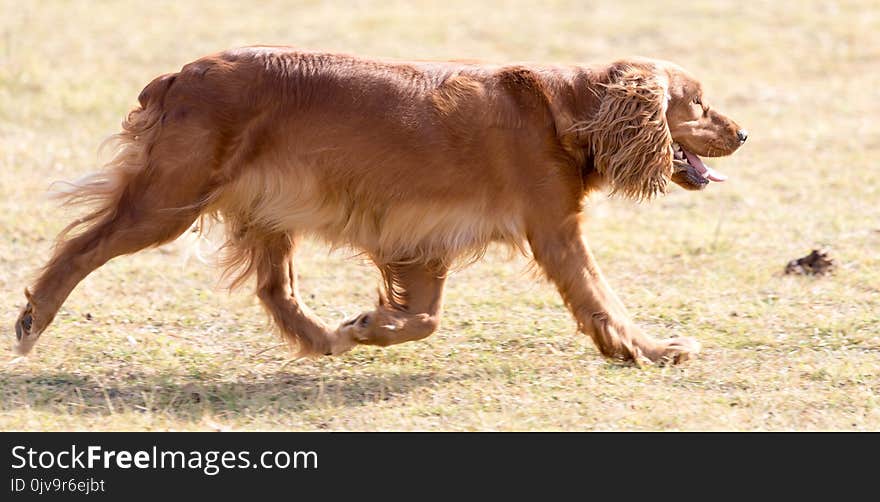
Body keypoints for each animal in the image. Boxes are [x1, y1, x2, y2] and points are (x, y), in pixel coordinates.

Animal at [13, 47, 744, 364]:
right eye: (699, 103)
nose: (743, 134)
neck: (569, 112)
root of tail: (179, 75)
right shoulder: (556, 234)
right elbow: (601, 302)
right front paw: (653, 348)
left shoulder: (423, 242)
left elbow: (423, 317)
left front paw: (368, 325)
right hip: (168, 202)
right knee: (79, 248)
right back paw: (32, 321)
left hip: (264, 206)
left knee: (277, 290)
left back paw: (325, 339)